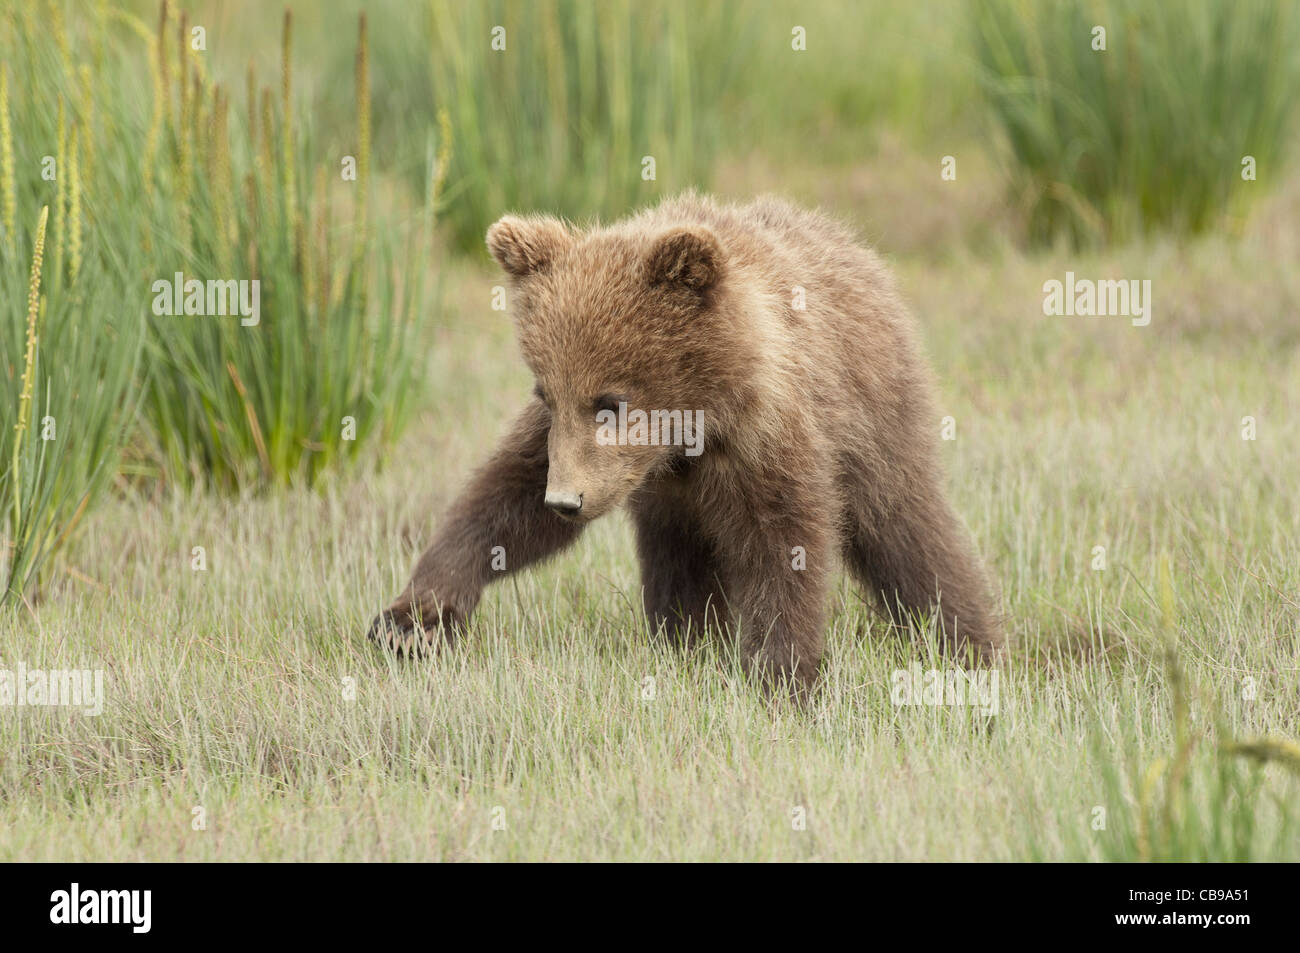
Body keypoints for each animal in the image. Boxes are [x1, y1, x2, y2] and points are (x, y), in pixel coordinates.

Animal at [369, 192, 1003, 694]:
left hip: (877, 424)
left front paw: (780, 678)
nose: (567, 501)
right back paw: (683, 641)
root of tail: (857, 250)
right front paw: (410, 620)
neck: (688, 434)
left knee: (906, 529)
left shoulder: (767, 442)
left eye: (611, 401)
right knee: (678, 558)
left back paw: (971, 643)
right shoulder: (571, 446)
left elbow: (785, 547)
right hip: (679, 512)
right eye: (546, 390)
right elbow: (505, 497)